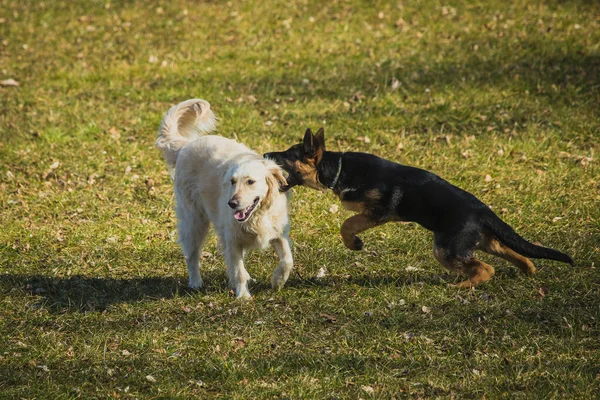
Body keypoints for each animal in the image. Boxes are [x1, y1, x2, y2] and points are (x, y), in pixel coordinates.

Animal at [264, 128, 576, 288]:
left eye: (287, 155)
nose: (266, 153)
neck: (338, 168)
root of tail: (482, 209)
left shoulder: (379, 210)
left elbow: (348, 224)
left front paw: (354, 243)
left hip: (446, 249)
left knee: (486, 269)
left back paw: (461, 286)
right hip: (483, 241)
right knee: (518, 254)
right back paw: (529, 272)